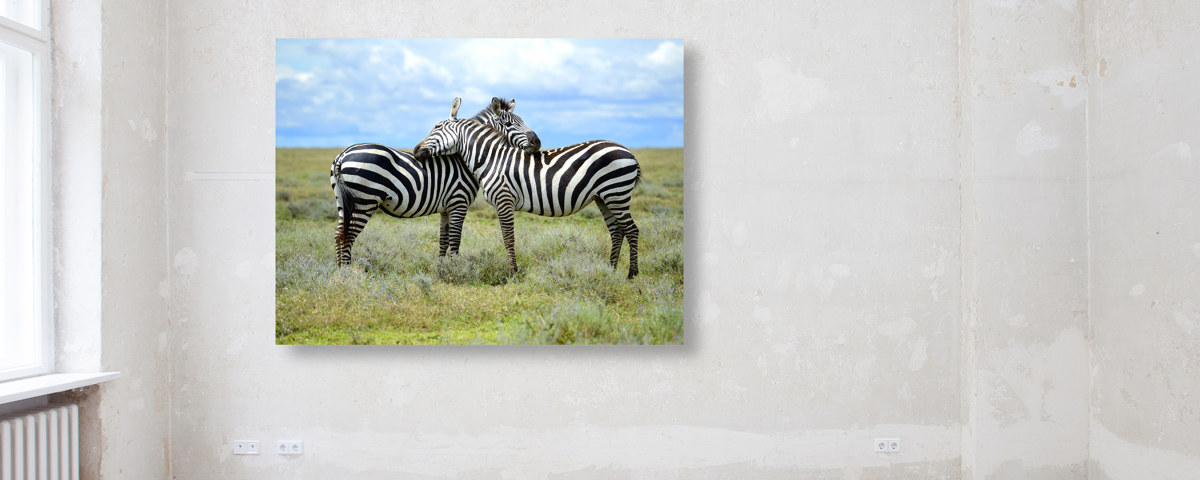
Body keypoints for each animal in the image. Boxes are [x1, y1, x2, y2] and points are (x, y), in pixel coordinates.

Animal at [331, 97, 541, 266]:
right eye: (509, 124)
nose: (537, 142)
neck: (462, 159)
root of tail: (343, 155)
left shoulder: (445, 208)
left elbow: (443, 240)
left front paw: (442, 269)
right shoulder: (458, 202)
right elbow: (455, 241)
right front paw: (456, 271)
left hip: (343, 202)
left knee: (339, 234)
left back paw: (340, 273)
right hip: (364, 200)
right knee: (348, 236)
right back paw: (348, 273)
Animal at [414, 97, 642, 279]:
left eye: (436, 127)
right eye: (509, 123)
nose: (416, 150)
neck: (492, 159)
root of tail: (628, 152)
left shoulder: (504, 199)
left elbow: (508, 238)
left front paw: (513, 272)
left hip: (616, 193)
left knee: (631, 229)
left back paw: (631, 274)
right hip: (604, 197)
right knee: (617, 231)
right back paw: (610, 270)